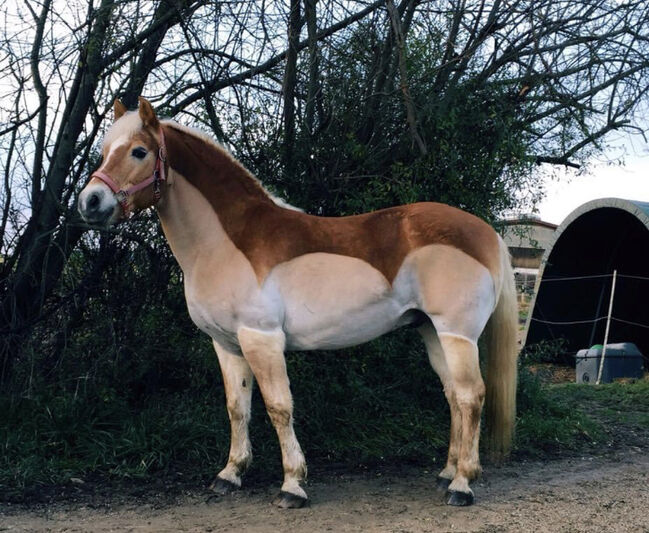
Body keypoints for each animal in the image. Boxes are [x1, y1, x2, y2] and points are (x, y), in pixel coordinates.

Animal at [78, 95, 520, 508]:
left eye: (139, 151)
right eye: (104, 150)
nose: (90, 202)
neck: (225, 244)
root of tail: (487, 233)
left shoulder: (262, 340)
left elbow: (279, 408)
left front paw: (292, 485)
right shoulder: (227, 345)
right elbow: (237, 407)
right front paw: (230, 475)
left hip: (457, 334)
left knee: (471, 396)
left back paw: (462, 484)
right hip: (432, 332)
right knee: (453, 396)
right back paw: (446, 474)